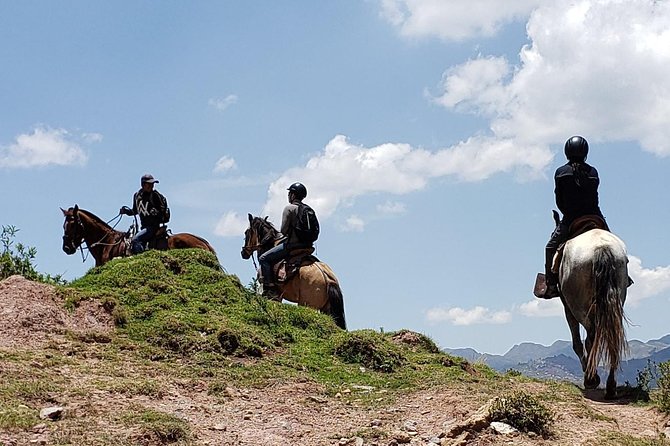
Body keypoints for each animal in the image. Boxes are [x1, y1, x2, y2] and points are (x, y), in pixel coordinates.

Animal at [560, 228, 632, 398]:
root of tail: (602, 247)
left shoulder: (568, 308)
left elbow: (577, 343)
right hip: (615, 304)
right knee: (613, 337)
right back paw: (610, 387)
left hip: (581, 309)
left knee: (590, 339)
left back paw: (591, 378)